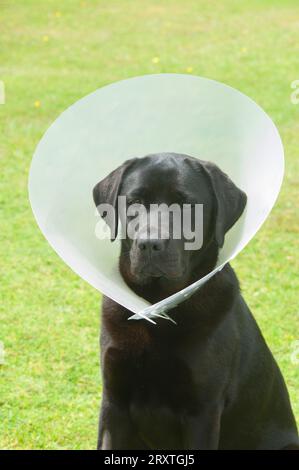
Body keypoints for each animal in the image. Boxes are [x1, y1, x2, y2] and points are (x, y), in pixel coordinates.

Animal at [92, 152, 298, 450]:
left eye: (187, 206)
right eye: (134, 203)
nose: (150, 244)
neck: (157, 306)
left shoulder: (202, 411)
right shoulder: (114, 402)